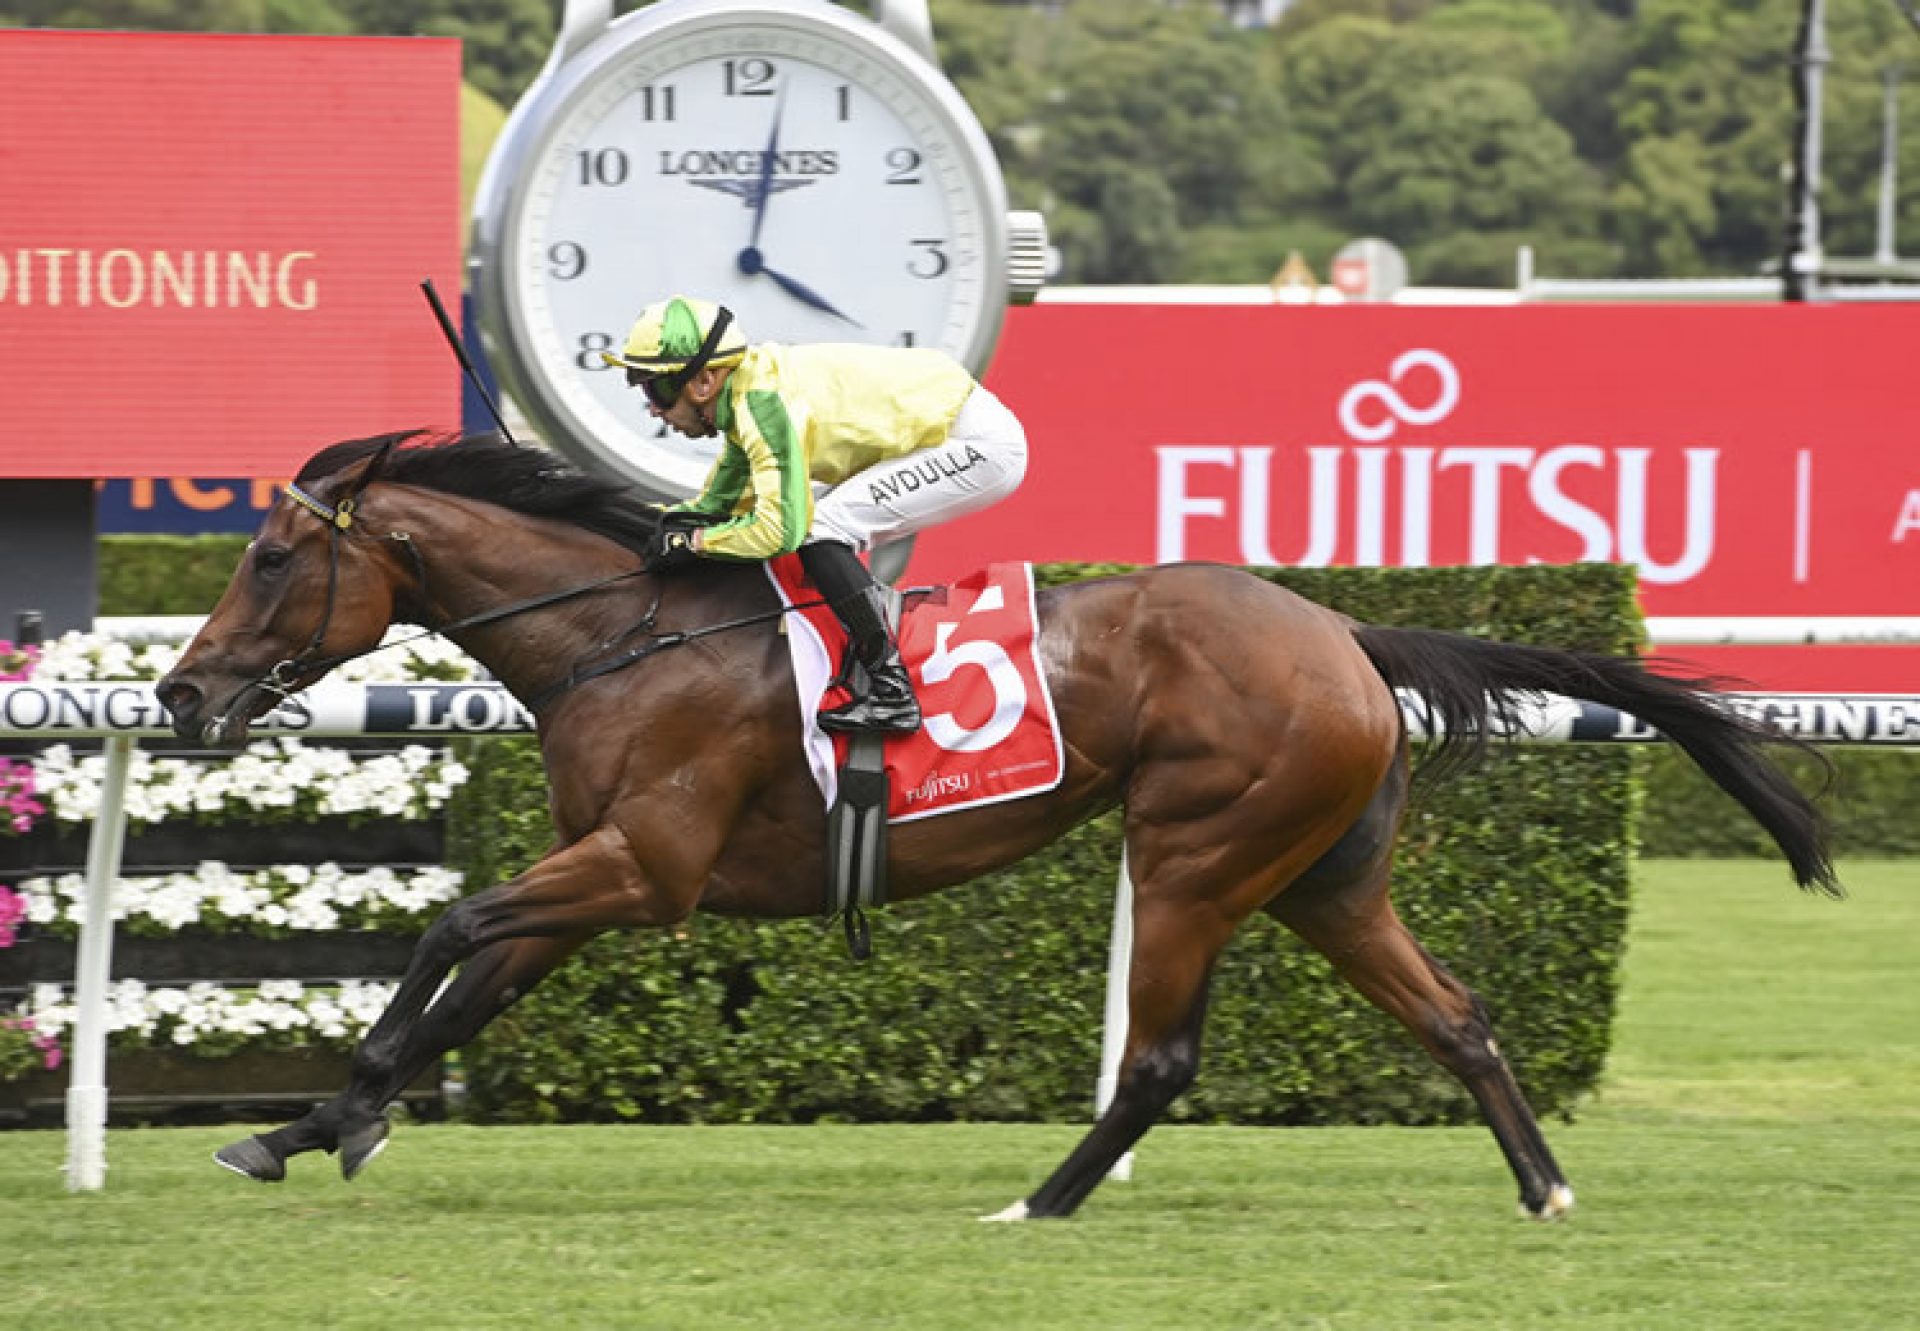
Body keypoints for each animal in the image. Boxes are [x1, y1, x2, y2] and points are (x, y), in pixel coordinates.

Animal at [149, 430, 1827, 1221]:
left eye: (268, 556)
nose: (178, 690)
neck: (621, 633)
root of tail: (1345, 628)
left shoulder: (643, 866)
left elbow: (448, 927)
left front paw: (338, 1108)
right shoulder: (600, 872)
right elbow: (471, 981)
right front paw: (312, 1123)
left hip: (1196, 850)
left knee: (1159, 1058)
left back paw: (1041, 1197)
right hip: (1326, 878)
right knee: (1460, 1014)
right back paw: (1543, 1183)